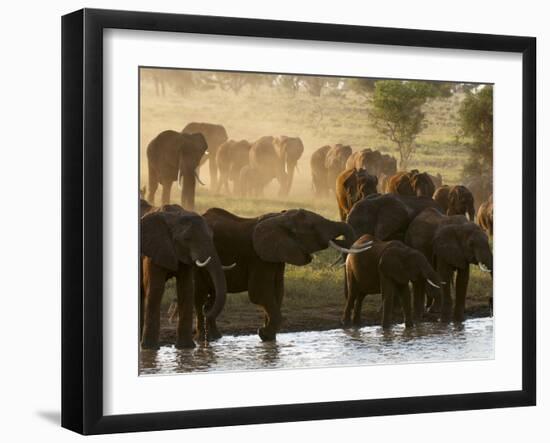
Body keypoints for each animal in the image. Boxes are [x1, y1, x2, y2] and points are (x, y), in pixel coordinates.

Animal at [142, 205, 231, 350]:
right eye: (187, 239)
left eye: (212, 237)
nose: (206, 310)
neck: (175, 216)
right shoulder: (154, 249)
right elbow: (156, 289)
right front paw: (150, 349)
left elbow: (186, 289)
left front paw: (186, 348)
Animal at [194, 206, 376, 342]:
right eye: (312, 228)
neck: (280, 218)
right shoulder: (258, 257)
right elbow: (260, 294)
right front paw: (264, 334)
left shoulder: (277, 256)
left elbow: (277, 291)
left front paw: (268, 337)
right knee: (200, 298)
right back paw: (205, 338)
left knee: (210, 298)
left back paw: (214, 337)